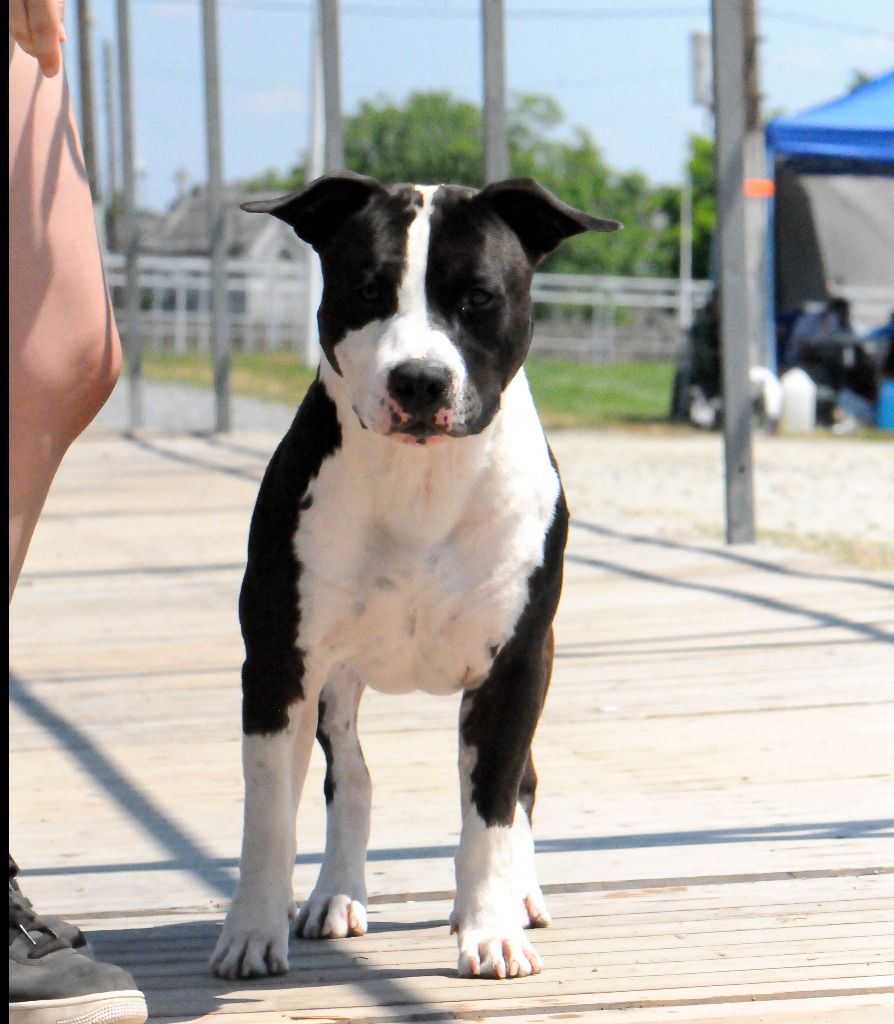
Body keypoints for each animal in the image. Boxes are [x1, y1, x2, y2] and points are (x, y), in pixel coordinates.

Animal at [211, 172, 618, 978]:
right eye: (368, 289)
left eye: (480, 298)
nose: (421, 381)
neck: (421, 483)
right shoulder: (278, 663)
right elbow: (269, 813)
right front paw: (252, 930)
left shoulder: (515, 664)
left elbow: (490, 806)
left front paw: (490, 929)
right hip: (335, 685)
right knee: (352, 778)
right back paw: (336, 896)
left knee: (513, 785)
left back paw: (515, 895)